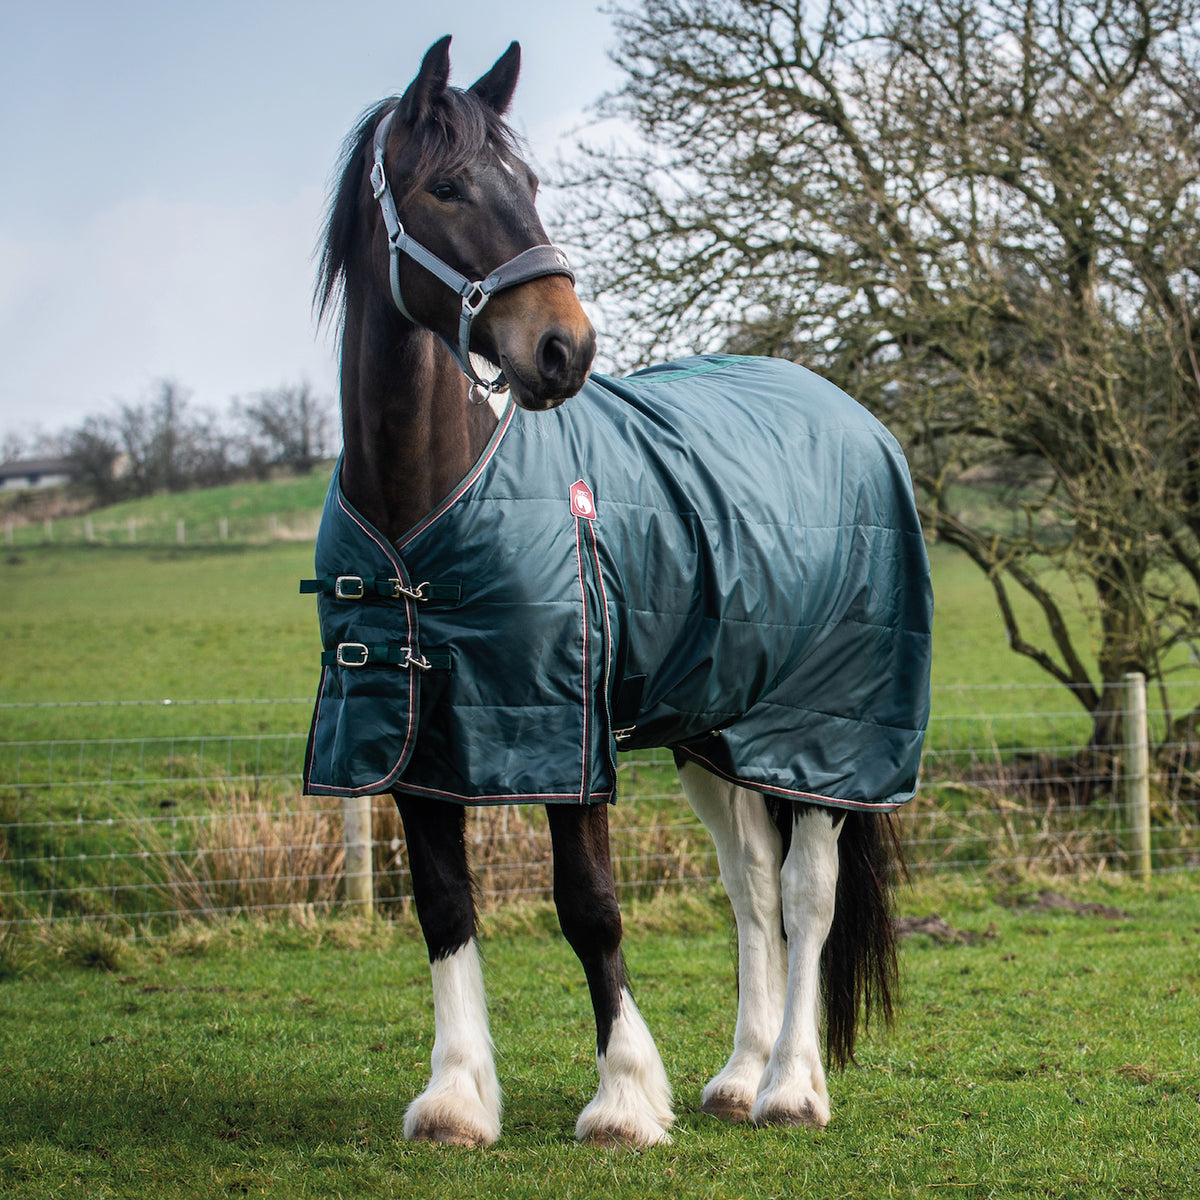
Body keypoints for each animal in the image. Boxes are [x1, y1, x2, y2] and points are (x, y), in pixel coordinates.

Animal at [304, 36, 932, 1148]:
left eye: (532, 186)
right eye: (448, 186)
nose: (565, 348)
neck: (425, 499)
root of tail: (853, 415)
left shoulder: (567, 735)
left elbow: (590, 905)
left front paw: (626, 1098)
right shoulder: (420, 740)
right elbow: (443, 906)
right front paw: (458, 1097)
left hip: (828, 744)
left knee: (806, 897)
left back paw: (791, 1086)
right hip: (716, 732)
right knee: (748, 890)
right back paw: (737, 1077)